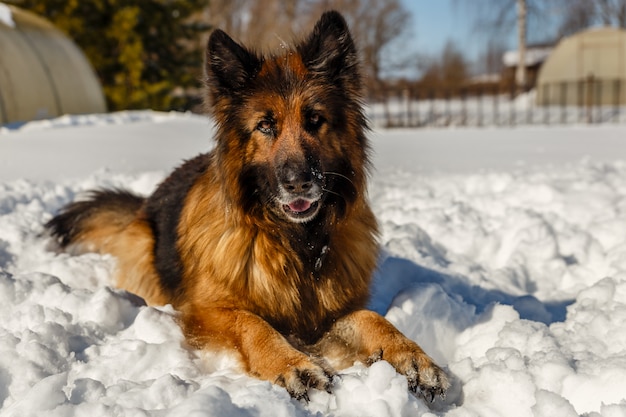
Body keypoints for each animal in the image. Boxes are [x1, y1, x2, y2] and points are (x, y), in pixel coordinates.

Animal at [47, 9, 448, 400]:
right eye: (265, 126)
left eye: (315, 119)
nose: (299, 182)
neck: (296, 244)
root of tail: (147, 201)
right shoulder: (207, 310)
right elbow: (252, 323)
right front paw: (293, 363)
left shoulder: (330, 314)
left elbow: (374, 320)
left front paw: (413, 356)